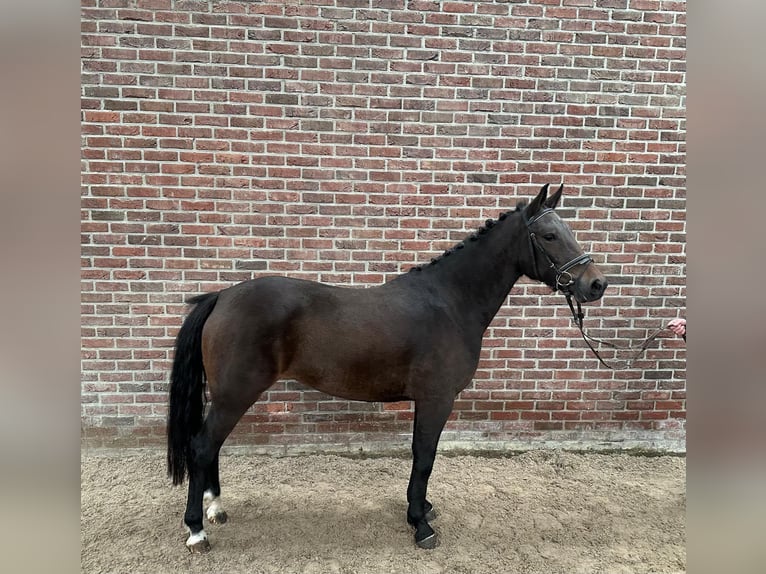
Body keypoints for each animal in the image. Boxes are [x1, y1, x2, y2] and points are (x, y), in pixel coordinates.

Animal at [167, 183, 608, 552]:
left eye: (567, 229)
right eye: (548, 235)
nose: (596, 284)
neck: (450, 302)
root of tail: (222, 297)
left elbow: (421, 455)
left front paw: (423, 509)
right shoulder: (436, 399)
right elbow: (424, 456)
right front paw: (420, 524)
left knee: (211, 446)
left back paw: (216, 509)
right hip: (235, 394)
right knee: (203, 446)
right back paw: (197, 530)